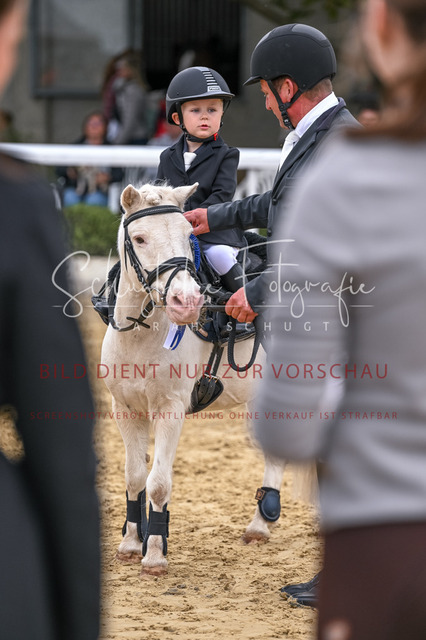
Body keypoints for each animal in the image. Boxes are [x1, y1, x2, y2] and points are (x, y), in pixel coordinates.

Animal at [100, 182, 286, 575]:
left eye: (189, 235)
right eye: (139, 238)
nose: (186, 301)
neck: (140, 333)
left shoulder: (170, 409)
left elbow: (157, 483)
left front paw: (155, 555)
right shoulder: (125, 409)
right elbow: (134, 476)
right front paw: (131, 543)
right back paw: (262, 522)